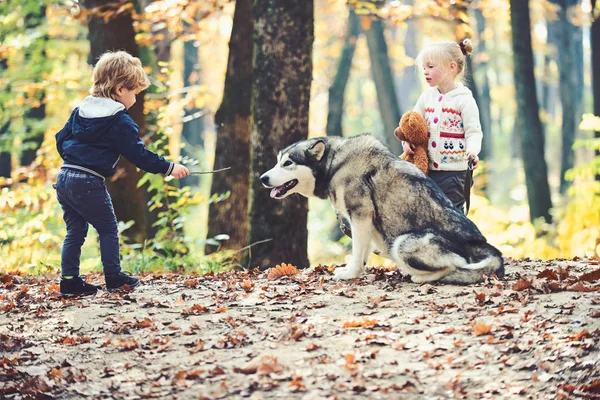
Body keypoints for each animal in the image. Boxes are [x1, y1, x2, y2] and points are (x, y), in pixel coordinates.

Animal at [260, 134, 504, 284]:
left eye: (288, 163)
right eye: (278, 161)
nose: (263, 178)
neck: (334, 165)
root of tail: (481, 245)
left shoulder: (360, 214)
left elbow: (356, 250)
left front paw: (350, 274)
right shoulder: (364, 222)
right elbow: (362, 251)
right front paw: (357, 271)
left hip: (402, 244)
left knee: (455, 266)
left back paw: (421, 277)